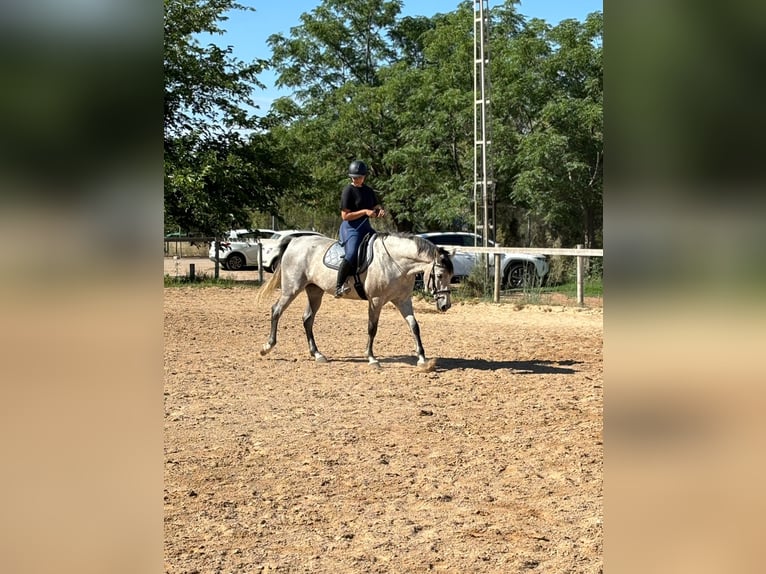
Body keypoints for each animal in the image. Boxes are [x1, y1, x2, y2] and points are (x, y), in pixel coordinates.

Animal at [258, 234, 452, 368]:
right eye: (440, 275)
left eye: (451, 276)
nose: (446, 305)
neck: (395, 262)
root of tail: (295, 241)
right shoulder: (376, 300)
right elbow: (372, 328)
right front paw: (372, 358)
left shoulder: (403, 300)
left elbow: (414, 326)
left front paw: (422, 359)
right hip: (292, 289)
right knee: (276, 310)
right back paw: (267, 347)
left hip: (315, 291)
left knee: (307, 319)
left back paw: (317, 354)